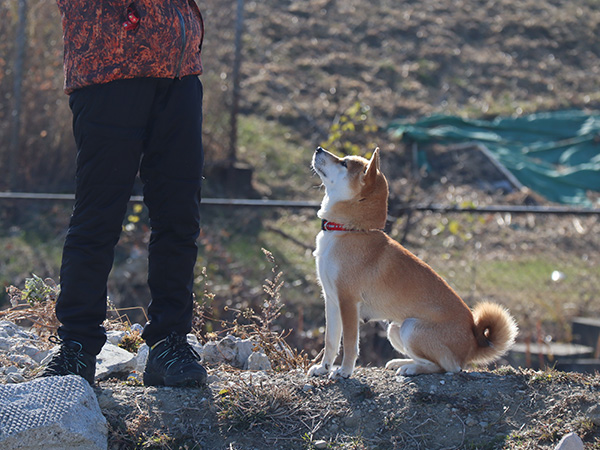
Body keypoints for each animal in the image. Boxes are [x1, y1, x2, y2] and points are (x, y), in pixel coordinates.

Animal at [308, 148, 516, 380]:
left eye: (344, 163)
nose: (318, 149)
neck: (349, 230)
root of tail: (471, 346)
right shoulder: (332, 301)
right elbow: (331, 341)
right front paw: (323, 367)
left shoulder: (348, 302)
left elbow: (351, 344)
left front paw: (344, 371)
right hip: (395, 329)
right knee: (435, 362)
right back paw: (404, 363)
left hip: (411, 328)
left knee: (448, 367)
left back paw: (412, 368)